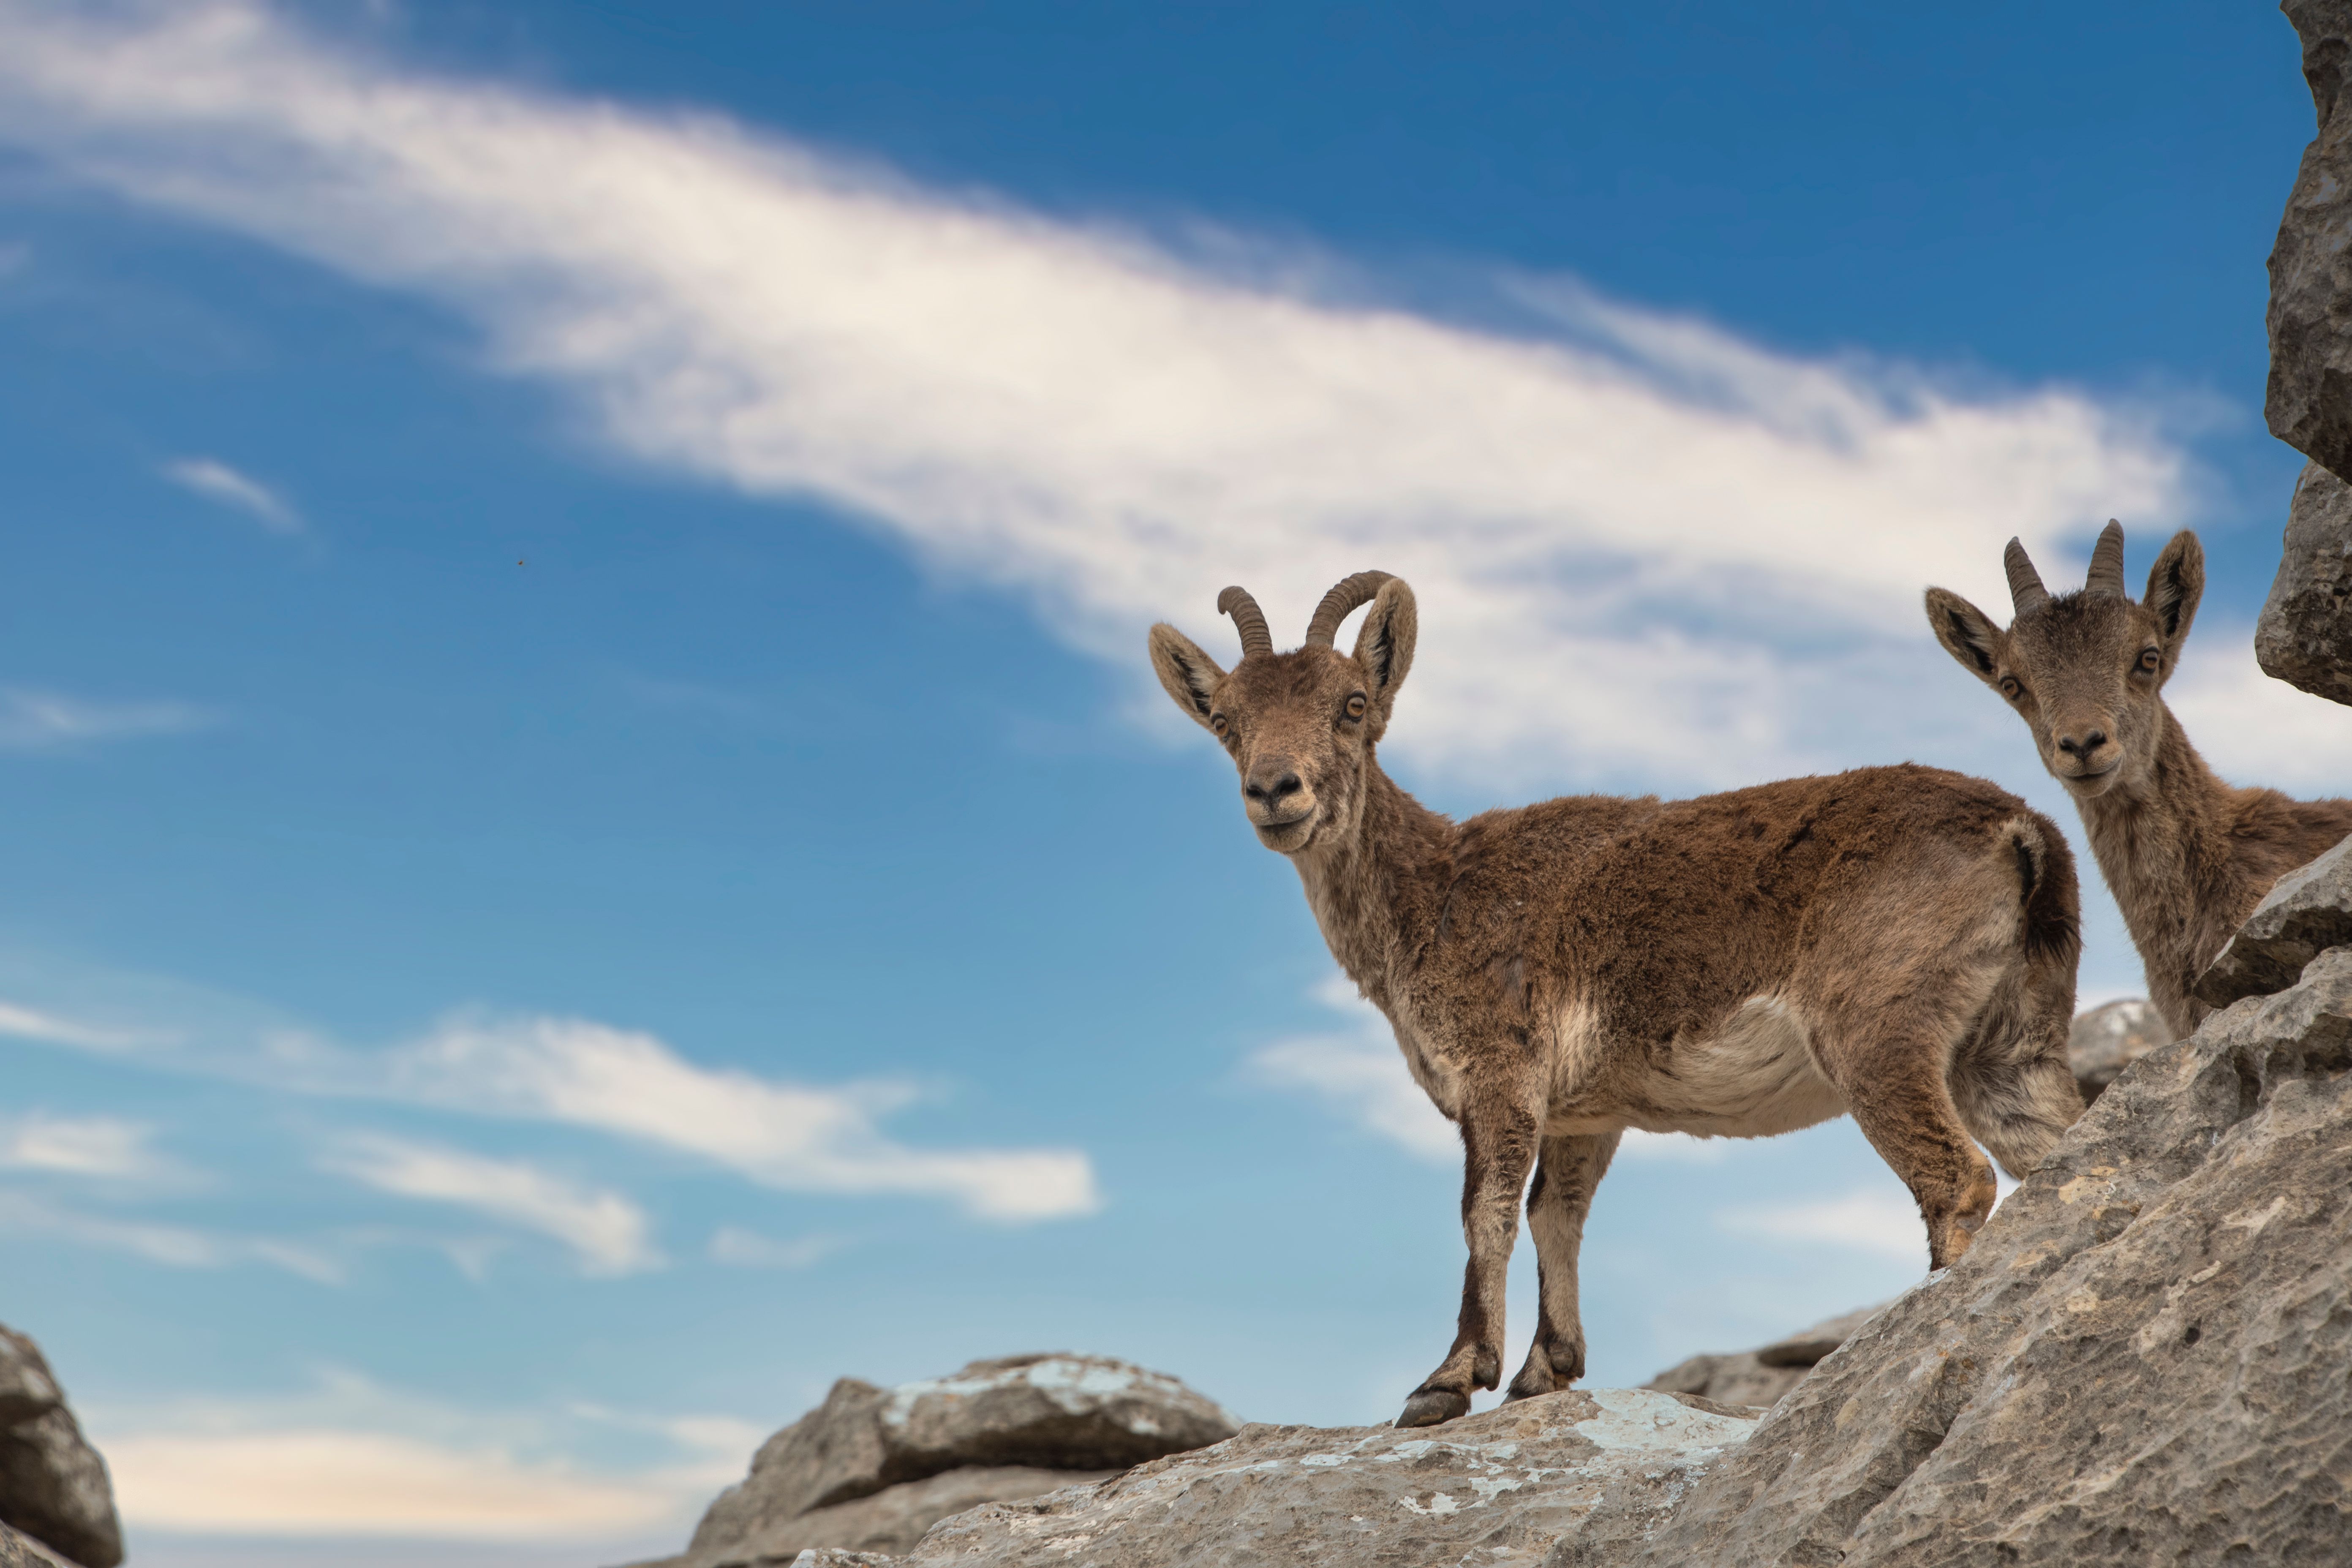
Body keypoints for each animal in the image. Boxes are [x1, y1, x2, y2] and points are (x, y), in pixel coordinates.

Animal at [1149, 572, 2084, 1428]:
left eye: (1350, 703)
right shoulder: (1583, 1110)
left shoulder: (1500, 1071)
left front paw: (1447, 1379)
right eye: (1227, 719)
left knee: (1956, 1177)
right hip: (2008, 1048)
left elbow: (1485, 1213)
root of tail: (2021, 830)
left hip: (1877, 1031)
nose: (1276, 790)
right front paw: (1546, 1367)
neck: (1433, 894)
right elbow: (1553, 1213)